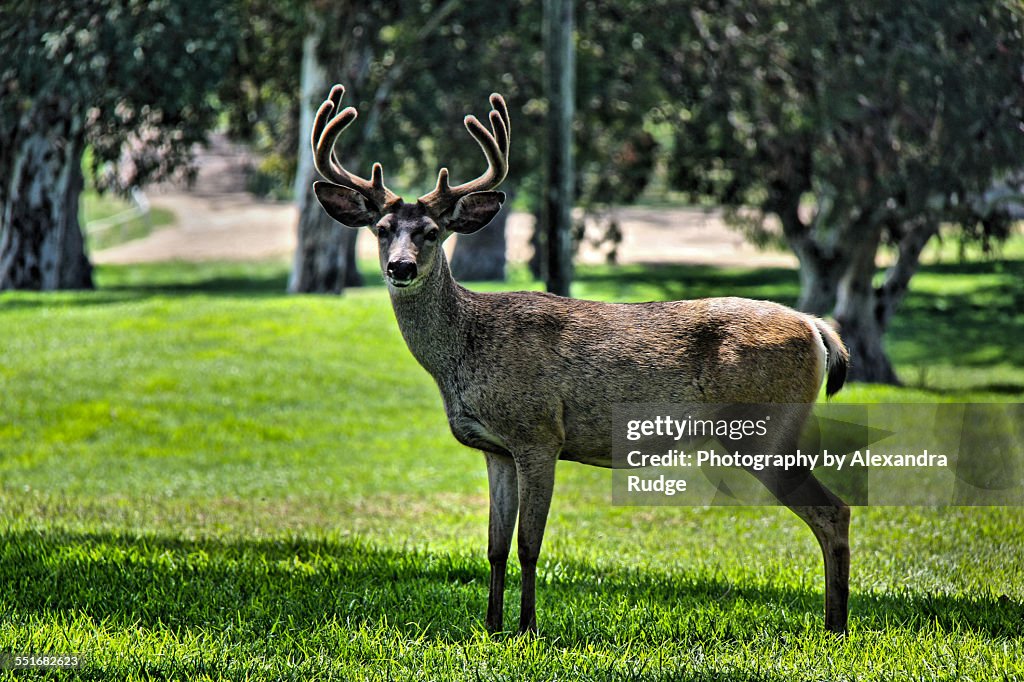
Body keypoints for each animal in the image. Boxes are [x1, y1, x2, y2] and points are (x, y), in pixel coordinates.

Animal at [307, 83, 851, 630]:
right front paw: (491, 627)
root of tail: (816, 327)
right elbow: (494, 547)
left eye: (432, 232)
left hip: (762, 431)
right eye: (381, 229)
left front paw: (527, 629)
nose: (400, 267)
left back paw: (835, 627)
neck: (465, 352)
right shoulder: (494, 448)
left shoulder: (539, 433)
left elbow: (528, 544)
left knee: (834, 511)